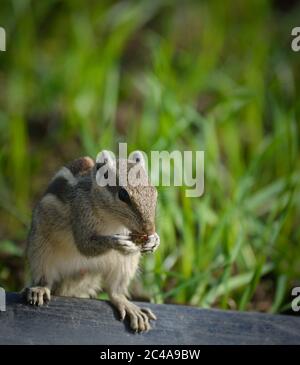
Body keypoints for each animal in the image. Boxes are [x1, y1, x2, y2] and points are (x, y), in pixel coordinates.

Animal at [24, 149, 159, 332]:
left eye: (154, 191)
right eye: (123, 194)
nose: (149, 229)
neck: (113, 219)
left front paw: (154, 240)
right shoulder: (81, 212)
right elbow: (84, 245)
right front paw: (118, 242)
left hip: (125, 266)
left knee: (115, 291)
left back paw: (129, 307)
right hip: (40, 249)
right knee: (45, 277)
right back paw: (40, 289)